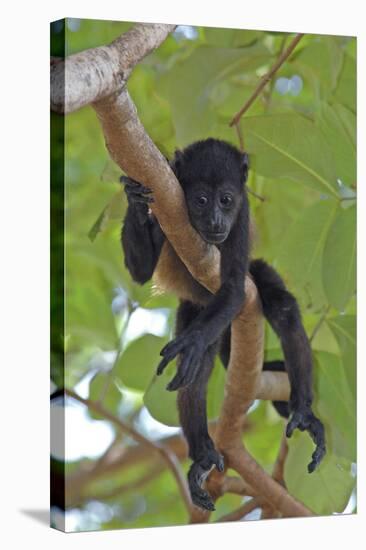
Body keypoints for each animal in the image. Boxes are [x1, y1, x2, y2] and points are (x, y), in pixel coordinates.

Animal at [120, 138, 326, 512]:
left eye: (226, 200)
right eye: (201, 200)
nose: (216, 220)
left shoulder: (241, 218)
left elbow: (232, 289)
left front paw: (191, 343)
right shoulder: (165, 202)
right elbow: (140, 272)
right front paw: (133, 198)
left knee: (283, 309)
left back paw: (304, 412)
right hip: (195, 309)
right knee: (197, 372)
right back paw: (202, 453)